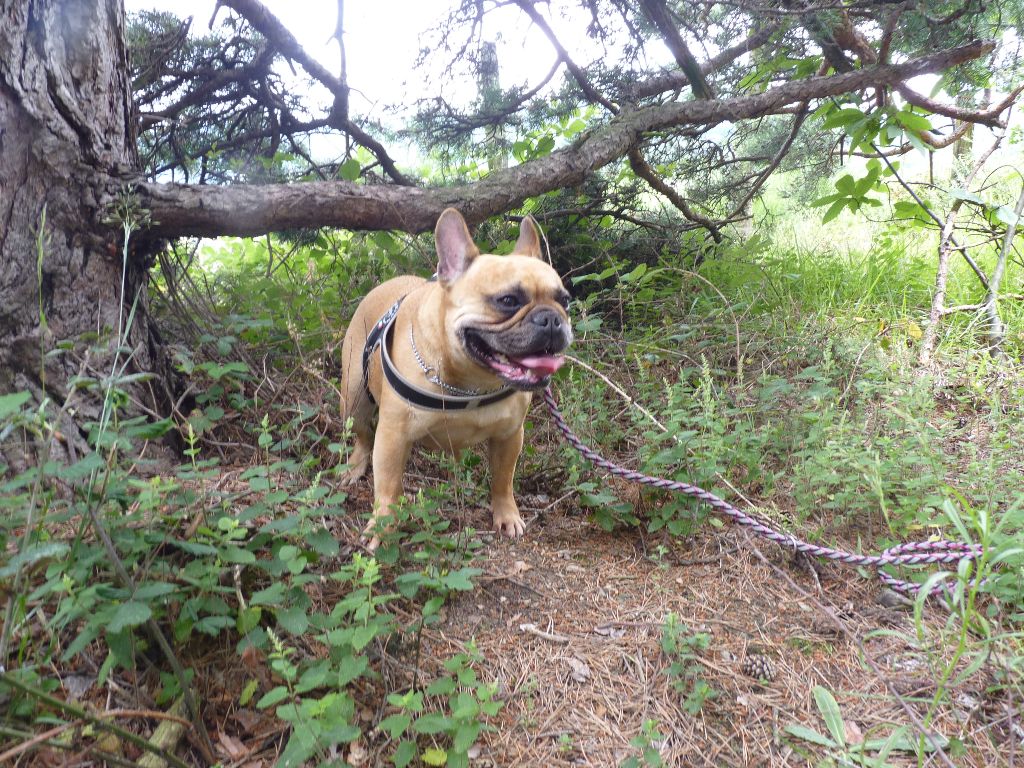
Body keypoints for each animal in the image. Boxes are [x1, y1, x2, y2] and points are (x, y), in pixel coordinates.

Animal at [339, 207, 573, 548]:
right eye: (508, 301)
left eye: (565, 300)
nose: (552, 319)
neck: (470, 383)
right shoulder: (393, 437)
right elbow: (388, 490)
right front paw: (382, 529)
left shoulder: (509, 436)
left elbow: (503, 480)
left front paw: (506, 515)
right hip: (353, 399)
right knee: (363, 434)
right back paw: (355, 466)